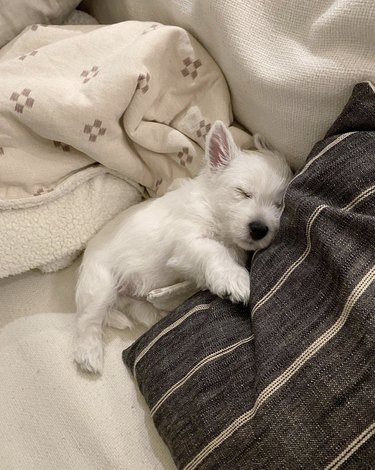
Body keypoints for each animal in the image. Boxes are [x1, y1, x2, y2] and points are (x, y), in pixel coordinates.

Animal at [74, 122, 294, 374]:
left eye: (279, 204)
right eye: (243, 192)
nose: (259, 229)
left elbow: (199, 276)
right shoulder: (188, 240)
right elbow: (214, 250)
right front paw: (235, 280)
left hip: (126, 297)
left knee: (137, 308)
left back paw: (155, 308)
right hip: (99, 286)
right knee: (87, 320)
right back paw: (89, 353)